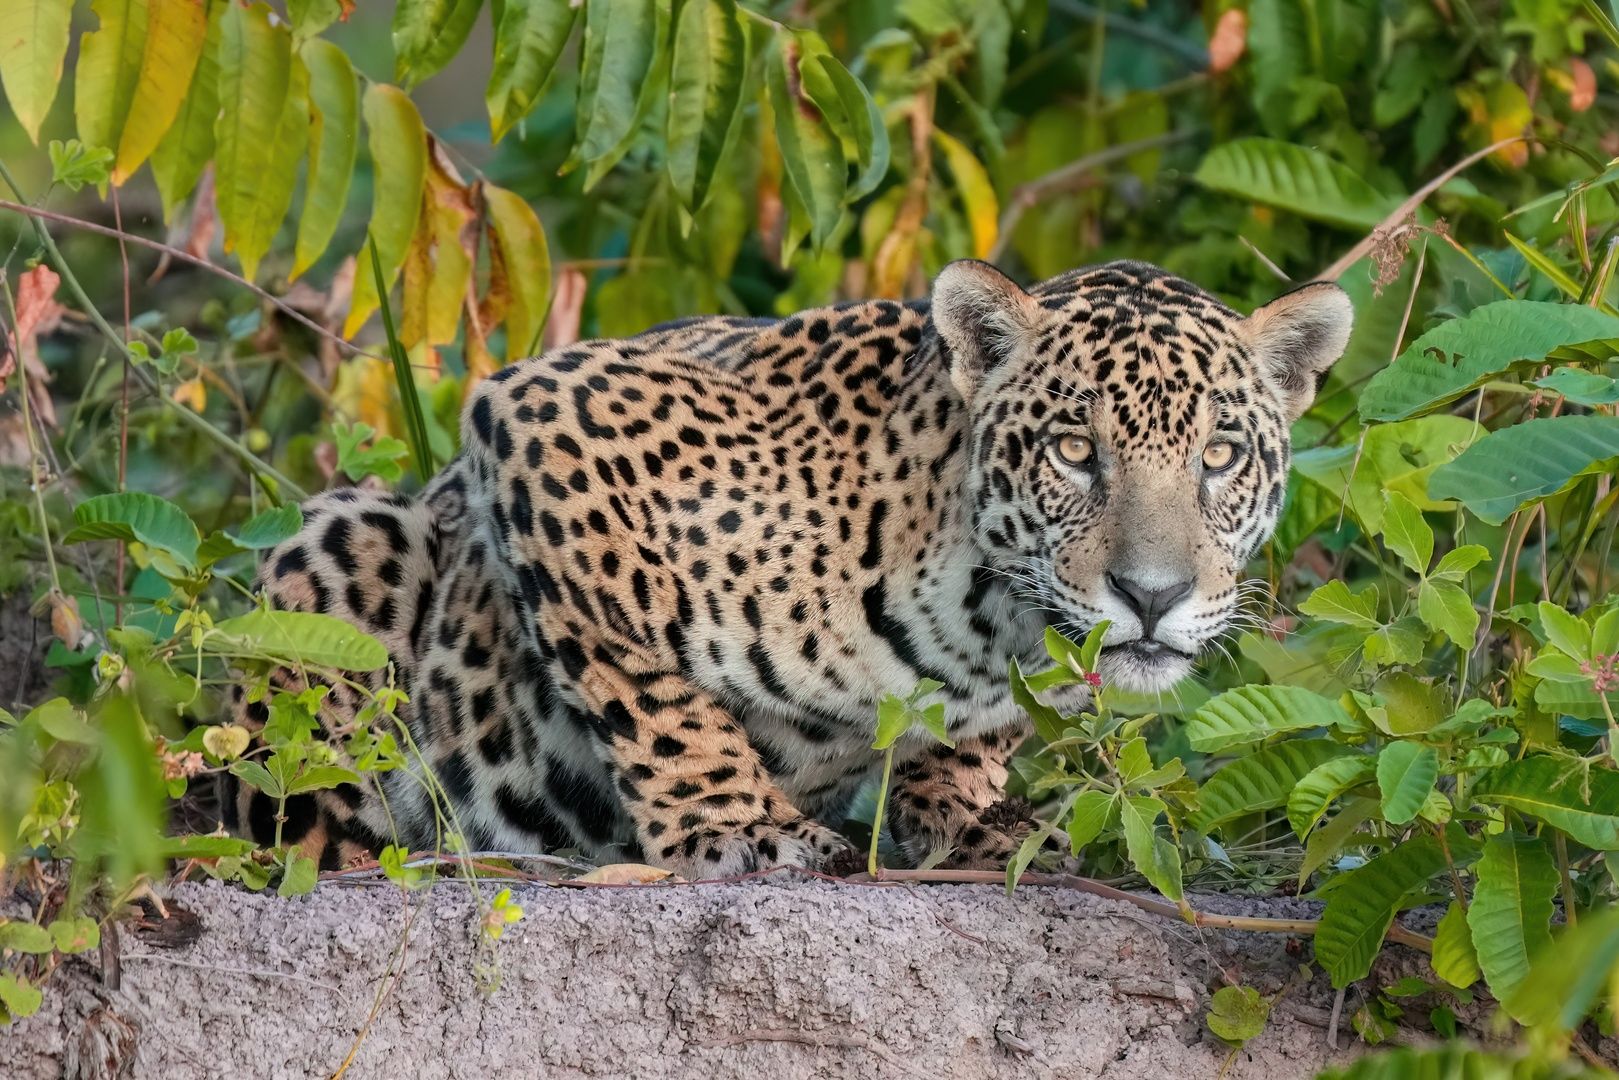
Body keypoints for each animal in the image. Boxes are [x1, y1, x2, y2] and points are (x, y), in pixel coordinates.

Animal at [222, 259, 1353, 879]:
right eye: (1075, 451)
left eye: (1220, 457)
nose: (1152, 596)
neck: (986, 614)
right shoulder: (548, 414)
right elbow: (647, 691)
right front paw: (737, 827)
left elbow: (974, 745)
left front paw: (968, 811)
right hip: (344, 540)